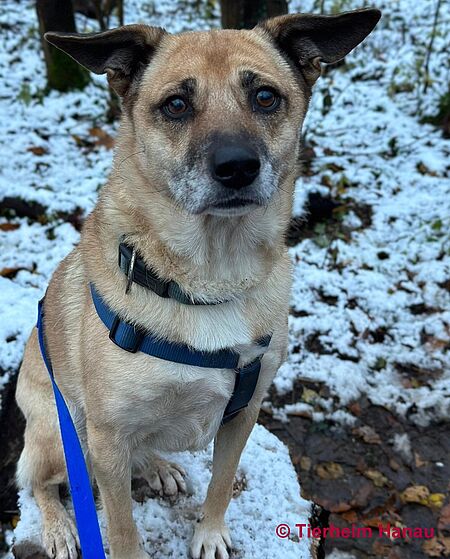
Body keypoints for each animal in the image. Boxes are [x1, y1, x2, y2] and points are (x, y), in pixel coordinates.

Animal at [15, 9, 380, 559]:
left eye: (265, 97)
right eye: (176, 105)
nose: (237, 167)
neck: (210, 275)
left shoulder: (244, 411)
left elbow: (222, 482)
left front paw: (209, 533)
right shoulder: (107, 435)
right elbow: (120, 527)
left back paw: (158, 468)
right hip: (63, 432)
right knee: (42, 483)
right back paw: (59, 527)